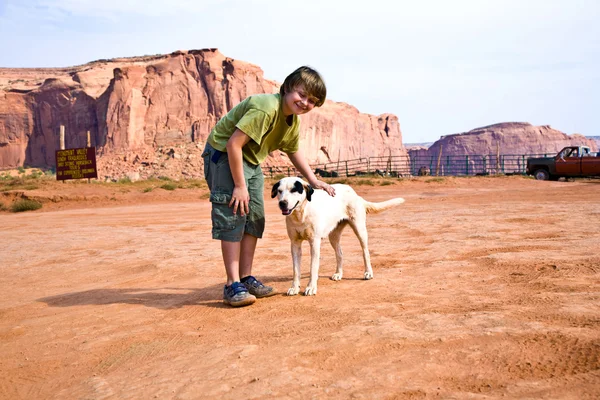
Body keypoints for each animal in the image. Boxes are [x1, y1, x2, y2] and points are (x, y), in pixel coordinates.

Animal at [270, 177, 404, 296]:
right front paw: (294, 288)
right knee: (340, 253)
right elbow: (295, 270)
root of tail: (355, 193)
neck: (300, 215)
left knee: (365, 252)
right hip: (333, 236)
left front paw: (311, 288)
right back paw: (339, 274)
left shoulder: (314, 242)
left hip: (360, 229)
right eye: (279, 191)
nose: (282, 203)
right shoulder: (295, 243)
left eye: (294, 190)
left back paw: (368, 272)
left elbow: (313, 268)